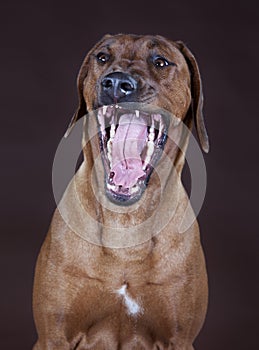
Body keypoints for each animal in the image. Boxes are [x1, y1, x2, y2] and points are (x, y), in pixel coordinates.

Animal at [33, 33, 210, 350]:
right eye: (102, 57)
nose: (116, 83)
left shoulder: (179, 338)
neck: (126, 220)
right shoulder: (54, 335)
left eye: (161, 62)